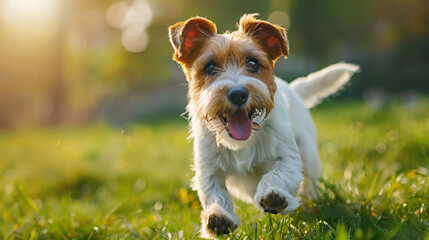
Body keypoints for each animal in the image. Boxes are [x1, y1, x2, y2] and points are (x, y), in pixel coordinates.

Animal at [167, 14, 358, 237]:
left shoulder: (287, 159)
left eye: (253, 63)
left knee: (309, 183)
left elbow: (275, 175)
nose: (238, 94)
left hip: (308, 155)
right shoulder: (208, 170)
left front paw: (273, 196)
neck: (243, 141)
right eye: (210, 67)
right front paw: (219, 217)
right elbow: (215, 194)